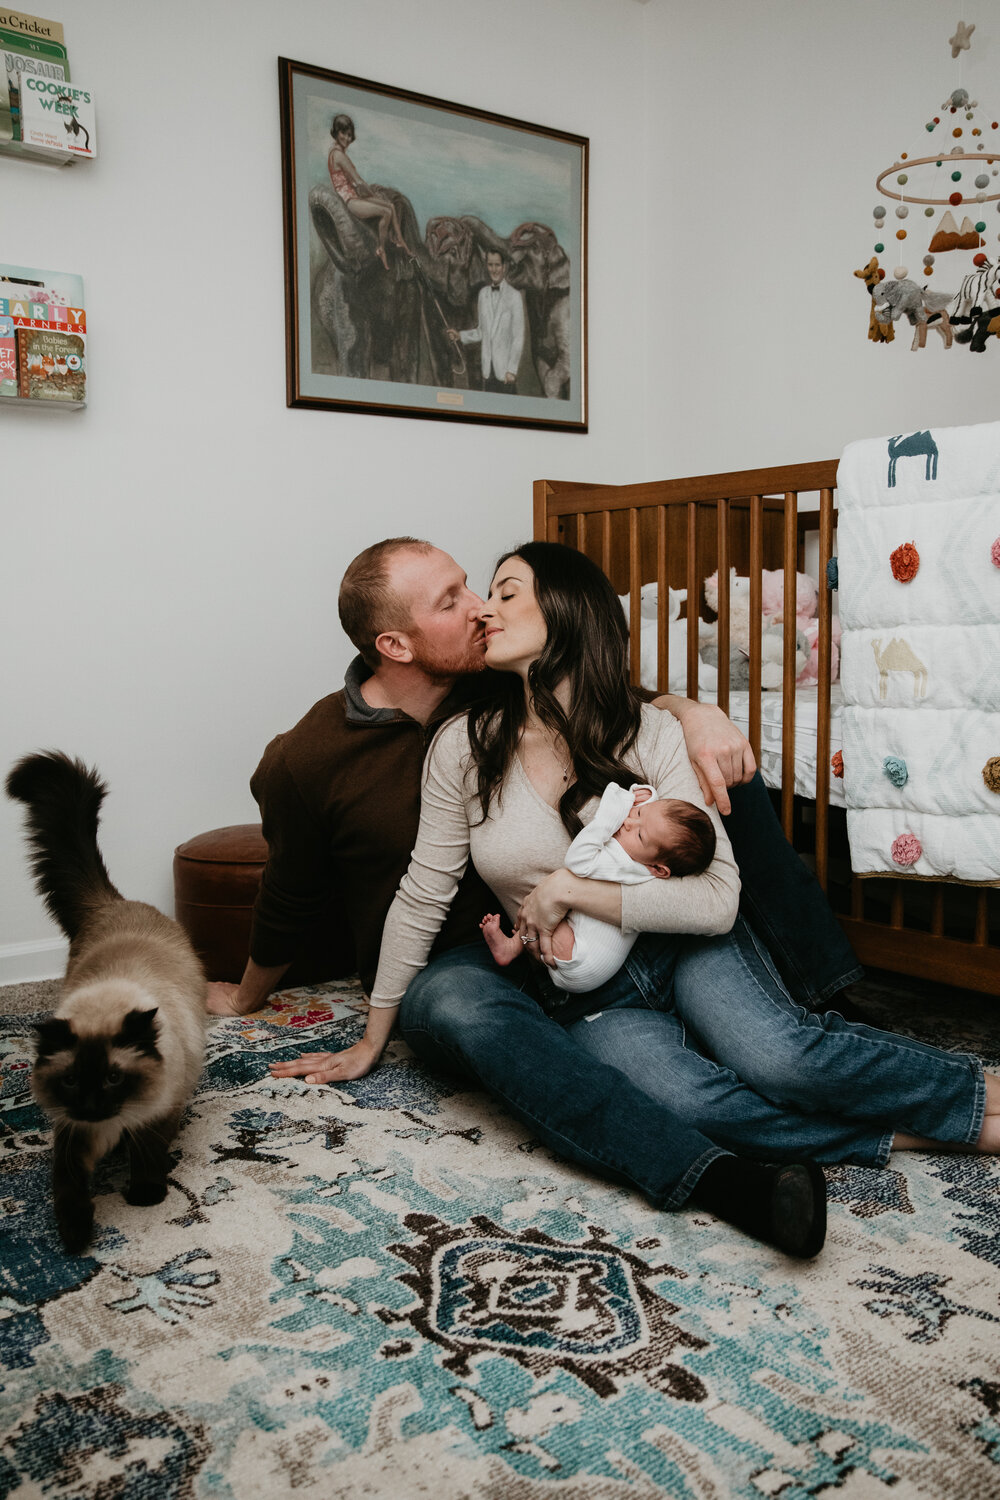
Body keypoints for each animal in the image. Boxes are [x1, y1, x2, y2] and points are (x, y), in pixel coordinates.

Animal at [6, 750, 206, 1254]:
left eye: (115, 1077)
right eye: (73, 1080)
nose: (94, 1105)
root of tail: (116, 902)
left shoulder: (158, 1112)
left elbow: (149, 1154)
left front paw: (146, 1196)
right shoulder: (73, 1131)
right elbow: (68, 1185)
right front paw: (76, 1237)